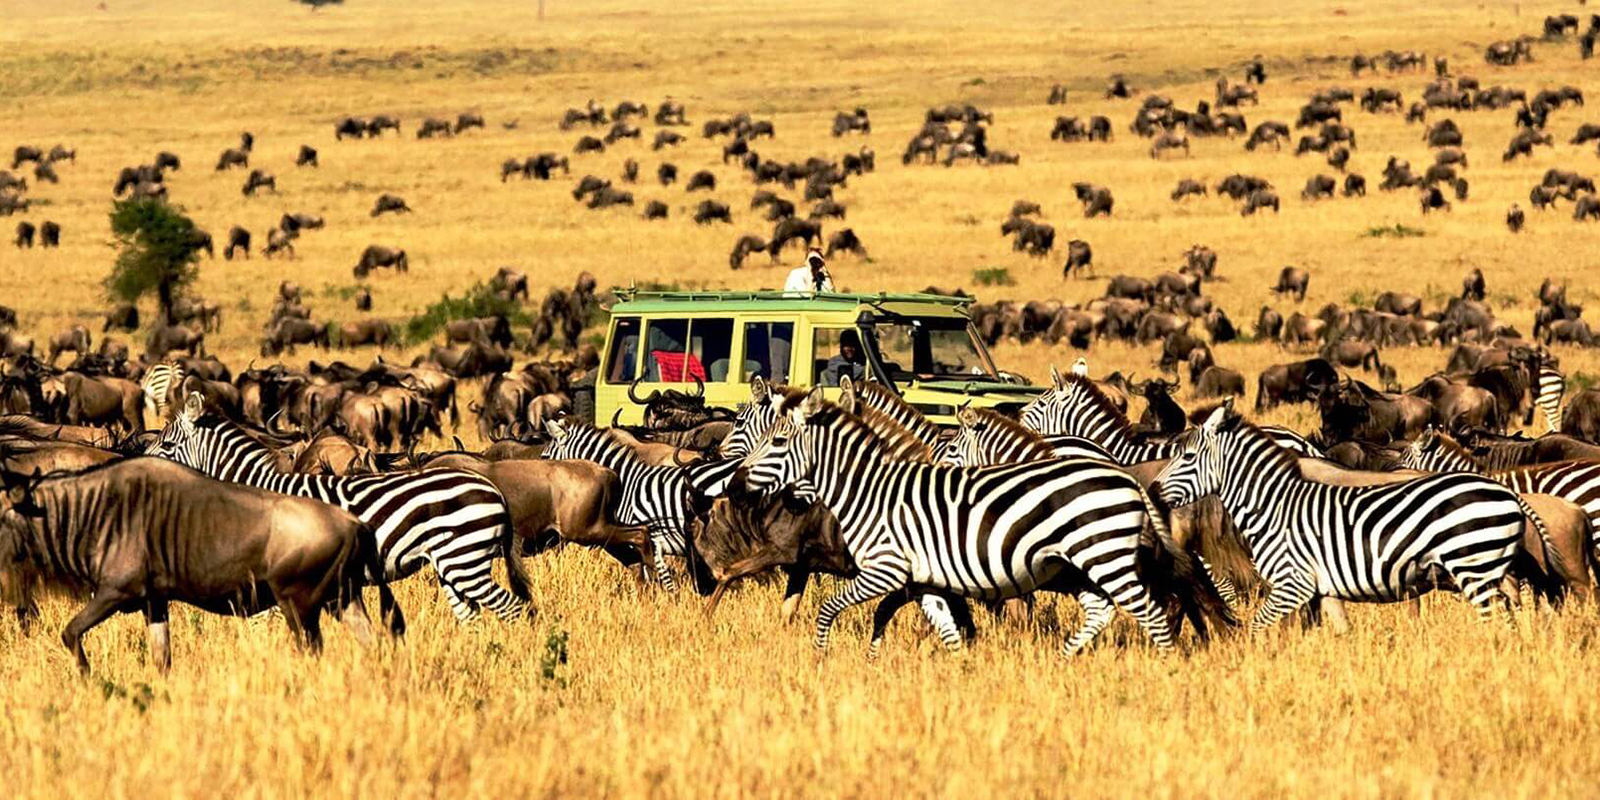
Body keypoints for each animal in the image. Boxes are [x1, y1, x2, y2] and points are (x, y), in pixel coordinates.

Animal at [146, 392, 531, 624]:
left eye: (167, 445)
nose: (140, 467)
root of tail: (492, 488)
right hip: (451, 564)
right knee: (473, 616)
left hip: (465, 559)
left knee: (514, 609)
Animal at [736, 385, 1190, 656]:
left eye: (778, 441)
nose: (738, 483)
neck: (869, 490)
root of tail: (1125, 477)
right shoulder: (923, 580)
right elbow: (947, 630)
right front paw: (959, 670)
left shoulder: (885, 570)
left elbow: (829, 609)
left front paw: (821, 657)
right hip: (1081, 564)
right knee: (1103, 610)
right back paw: (1064, 660)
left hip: (1103, 556)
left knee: (1152, 611)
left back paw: (1163, 669)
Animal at [1158, 403, 1542, 627]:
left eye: (1187, 456)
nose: (1156, 491)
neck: (1274, 504)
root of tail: (1506, 492)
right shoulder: (1321, 588)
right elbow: (1335, 631)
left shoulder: (1291, 583)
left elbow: (1259, 627)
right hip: (1490, 568)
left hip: (1474, 566)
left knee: (1497, 618)